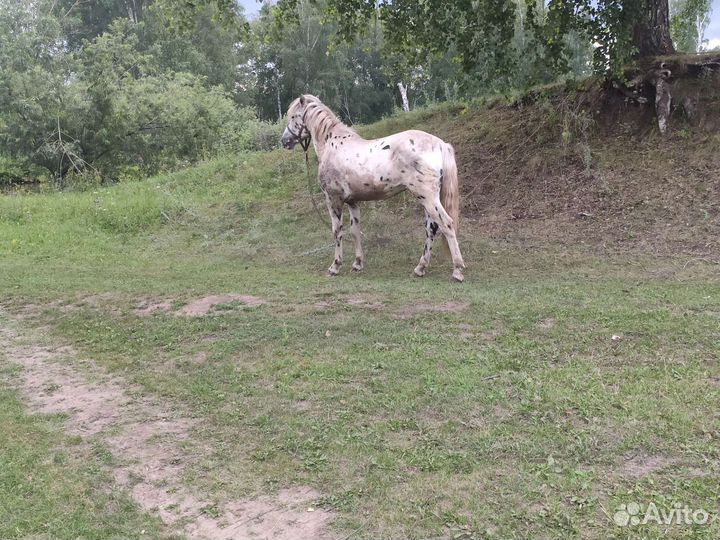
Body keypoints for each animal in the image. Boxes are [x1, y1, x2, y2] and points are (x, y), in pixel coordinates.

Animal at [281, 94, 465, 282]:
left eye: (293, 116)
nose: (285, 141)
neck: (332, 145)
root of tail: (440, 144)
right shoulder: (352, 202)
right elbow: (355, 231)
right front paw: (357, 264)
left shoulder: (333, 200)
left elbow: (337, 232)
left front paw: (335, 266)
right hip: (427, 200)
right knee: (431, 229)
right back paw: (420, 268)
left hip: (428, 198)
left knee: (446, 225)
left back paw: (457, 270)